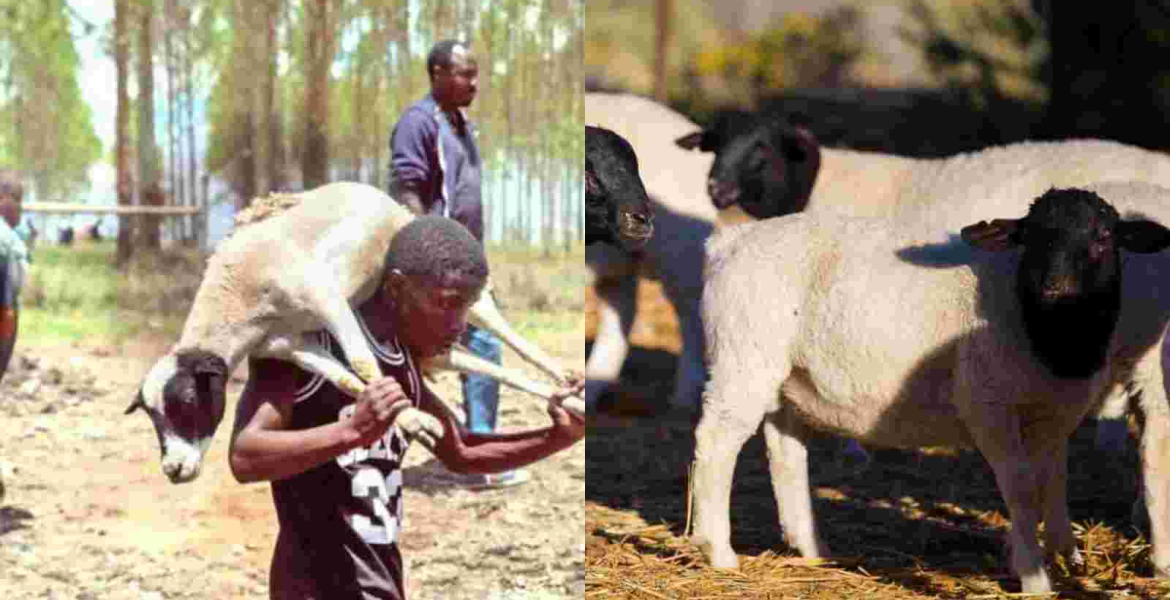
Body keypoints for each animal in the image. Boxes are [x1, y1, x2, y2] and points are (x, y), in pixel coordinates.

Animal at [693, 184, 1170, 592]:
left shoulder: (1054, 413)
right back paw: (718, 551)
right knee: (715, 444)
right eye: (1031, 237)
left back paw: (812, 548)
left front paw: (1062, 555)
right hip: (743, 361)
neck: (1046, 329)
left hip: (787, 376)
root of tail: (731, 242)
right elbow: (1020, 487)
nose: (1055, 289)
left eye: (1104, 237)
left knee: (786, 451)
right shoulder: (988, 405)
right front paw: (1034, 576)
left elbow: (1053, 480)